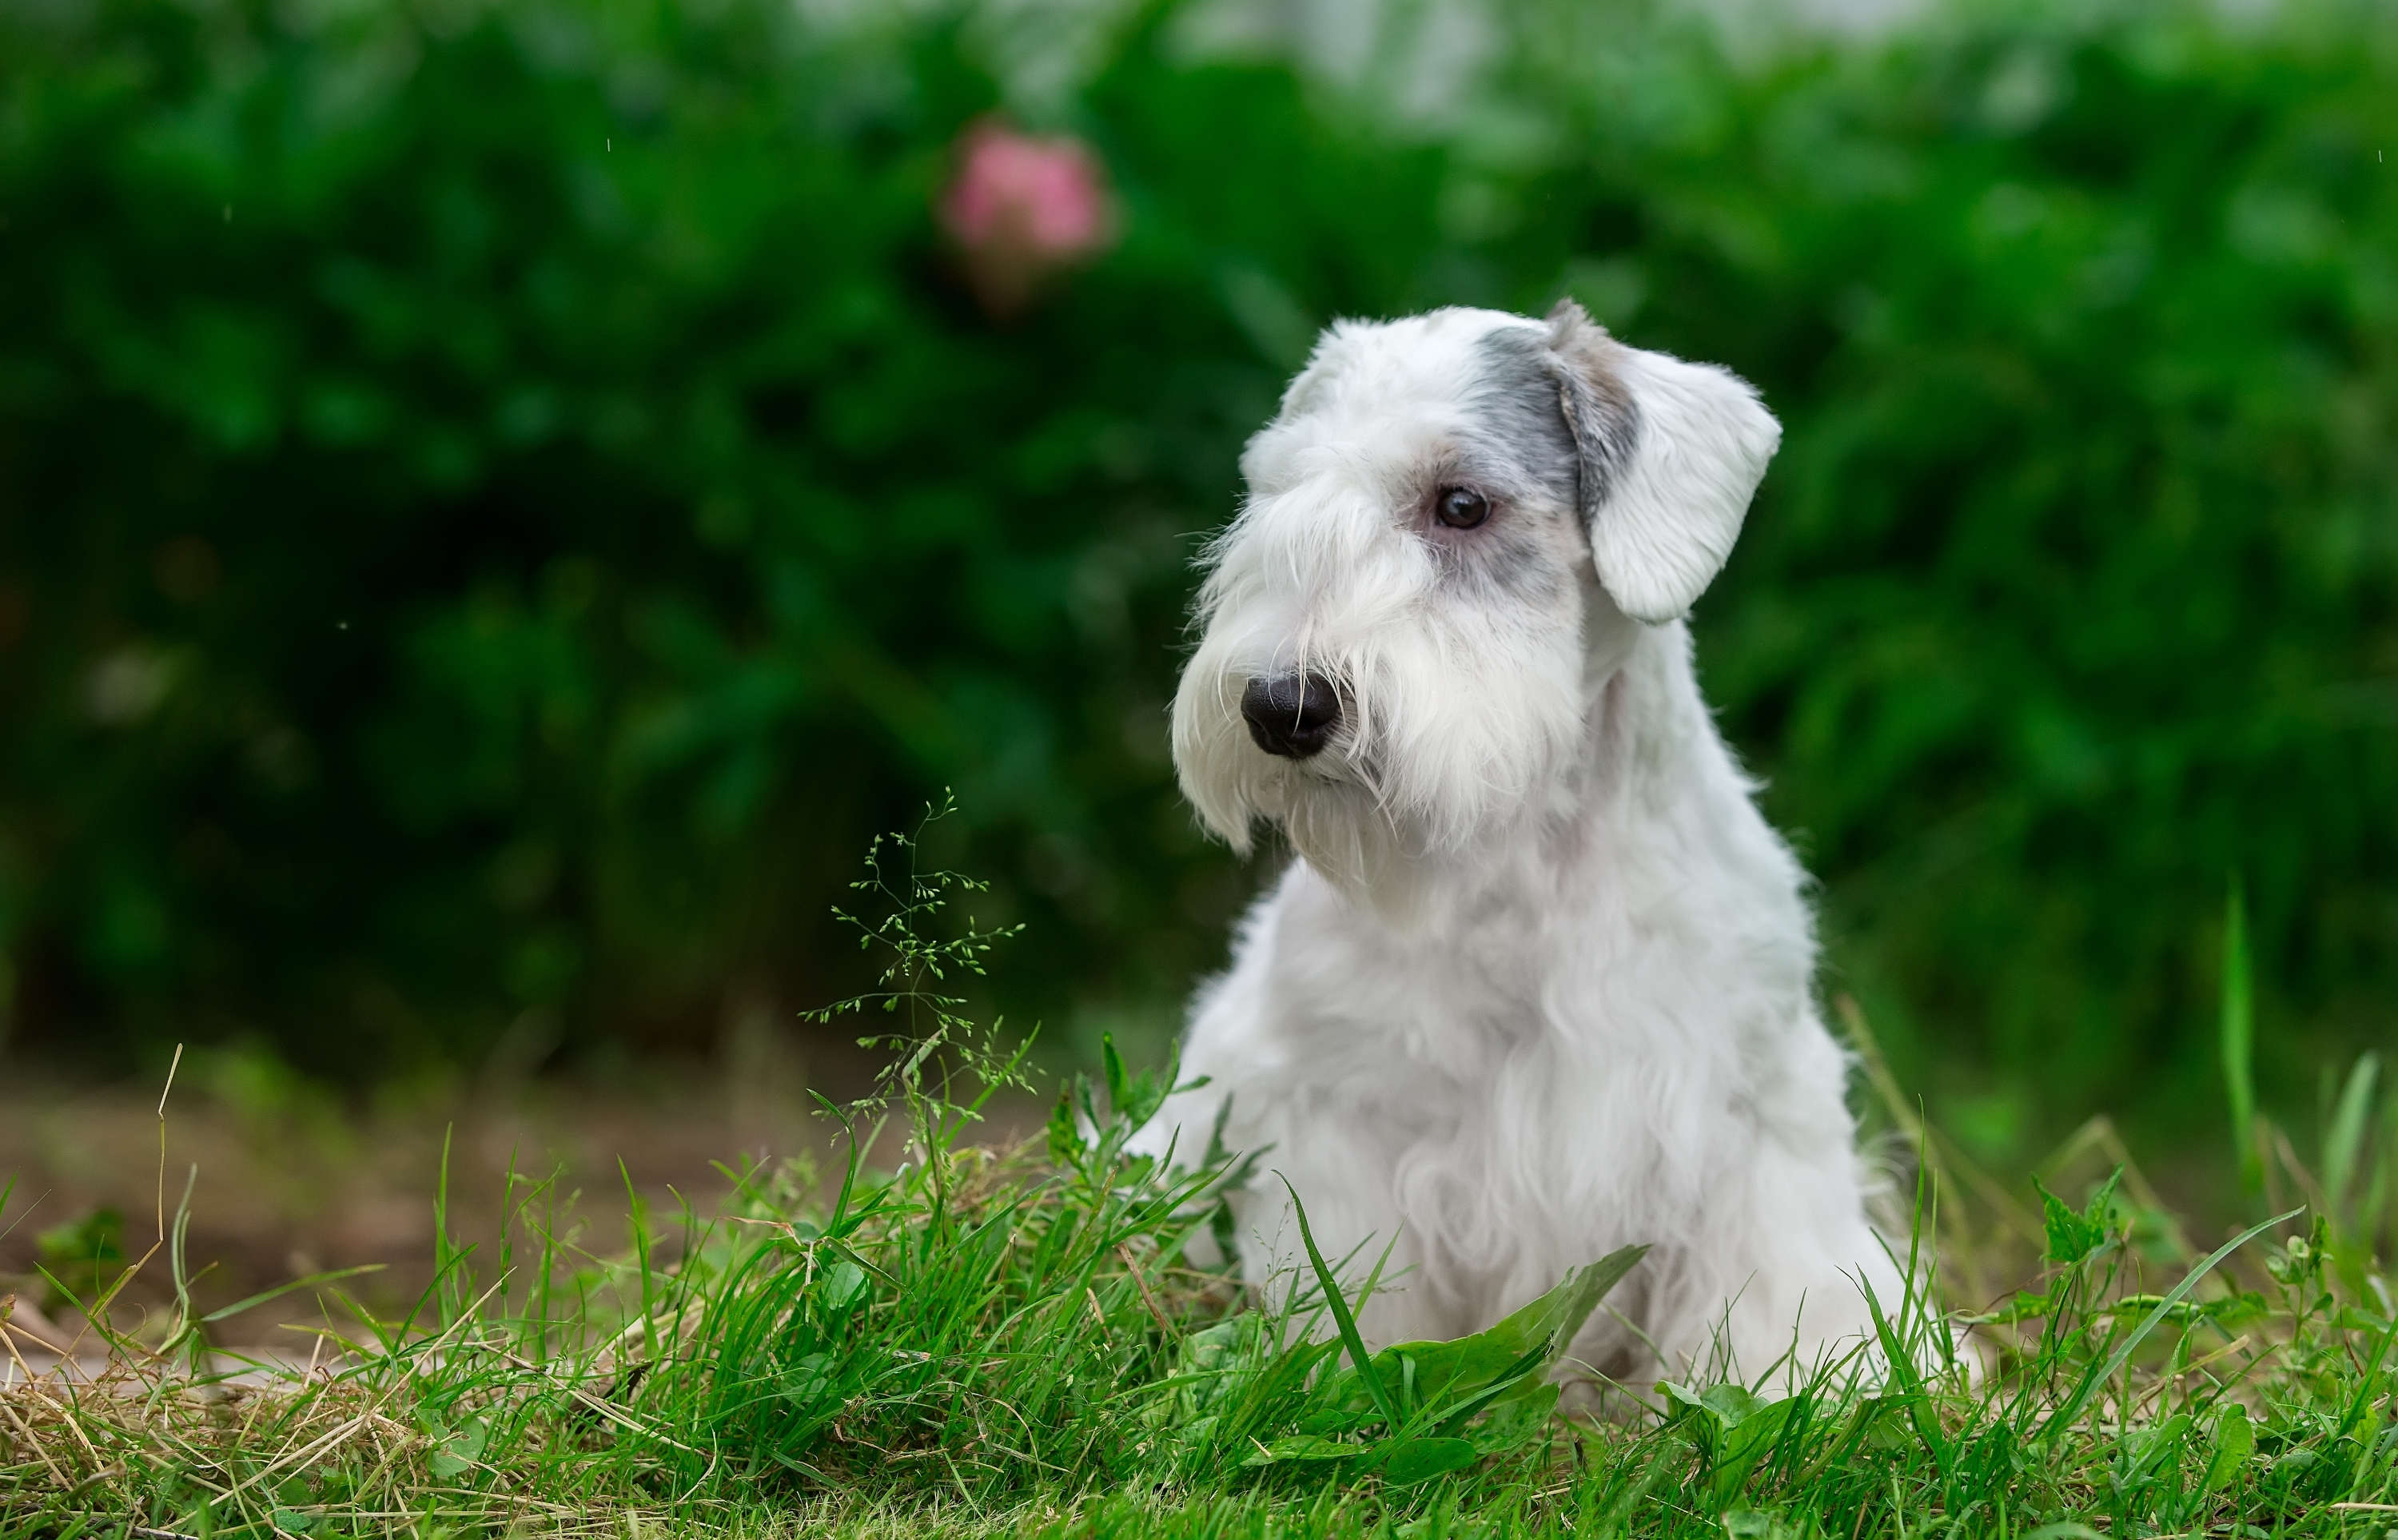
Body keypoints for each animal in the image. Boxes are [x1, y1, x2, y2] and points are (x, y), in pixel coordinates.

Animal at [1132, 300, 1899, 1381]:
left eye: (1462, 504)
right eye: (1279, 495)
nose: (1283, 707)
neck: (1531, 863)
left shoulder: (1752, 1115)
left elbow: (1783, 1290)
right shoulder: (1339, 1126)